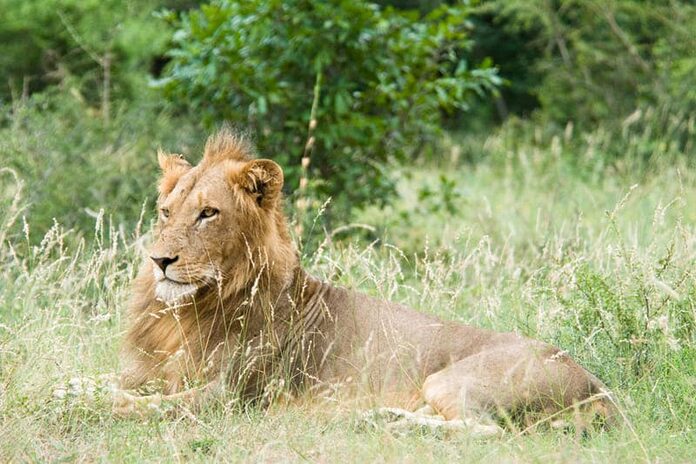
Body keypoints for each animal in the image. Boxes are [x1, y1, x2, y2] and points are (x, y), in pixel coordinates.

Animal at [114, 129, 616, 435]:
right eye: (166, 212)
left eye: (208, 213)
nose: (159, 260)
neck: (185, 310)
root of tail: (597, 386)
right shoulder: (151, 372)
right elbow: (113, 383)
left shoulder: (234, 395)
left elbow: (139, 405)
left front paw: (101, 404)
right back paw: (384, 416)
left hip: (452, 381)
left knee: (484, 430)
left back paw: (391, 423)